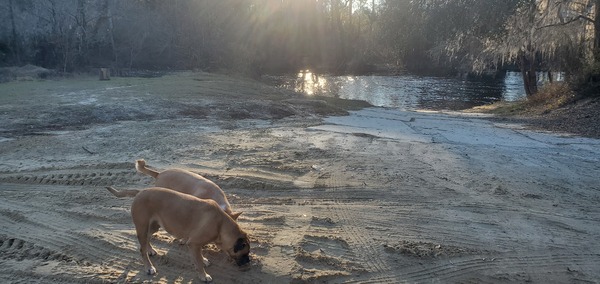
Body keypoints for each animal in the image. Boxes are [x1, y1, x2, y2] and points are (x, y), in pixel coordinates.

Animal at [106, 186, 250, 282]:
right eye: (244, 253)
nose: (248, 261)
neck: (221, 224)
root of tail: (140, 192)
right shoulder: (193, 243)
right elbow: (198, 262)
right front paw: (203, 275)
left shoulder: (195, 243)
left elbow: (199, 256)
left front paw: (203, 260)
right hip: (142, 227)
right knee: (142, 249)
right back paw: (149, 267)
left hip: (153, 226)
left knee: (146, 240)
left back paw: (150, 250)